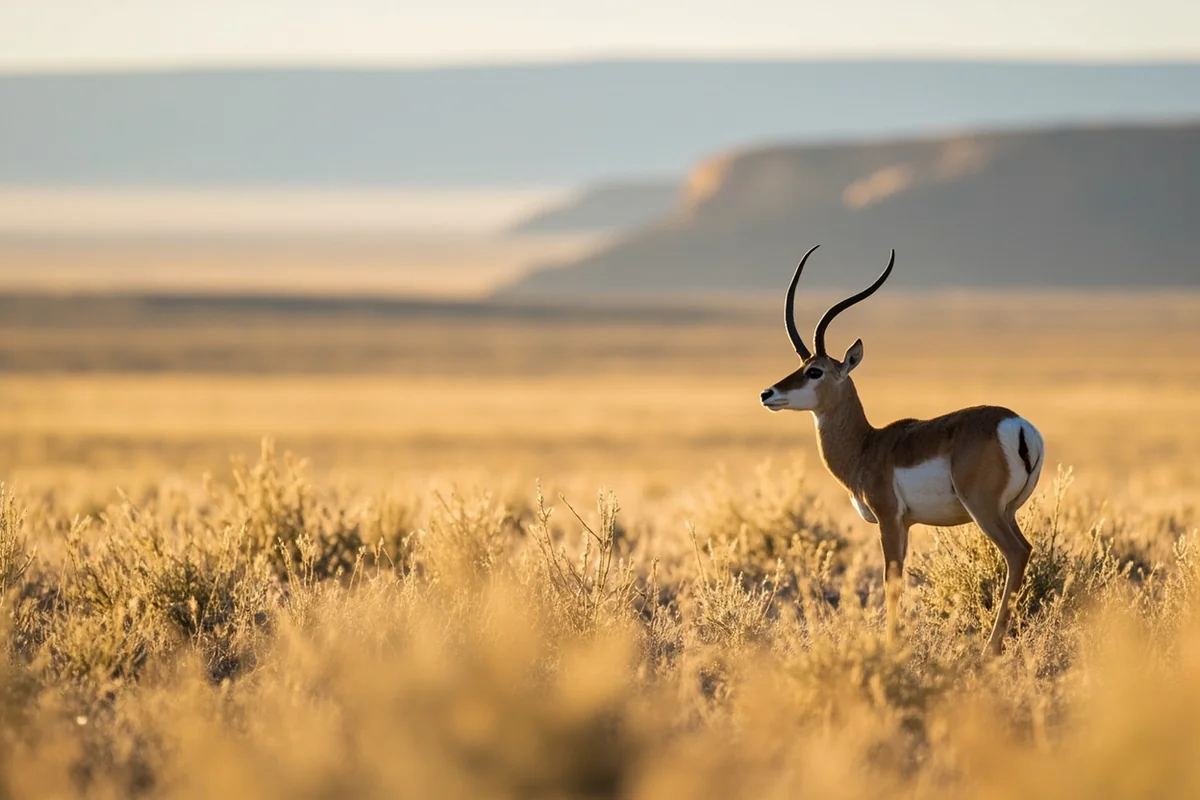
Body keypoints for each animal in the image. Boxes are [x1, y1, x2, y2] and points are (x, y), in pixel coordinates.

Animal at [759, 246, 1044, 655]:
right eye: (800, 365)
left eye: (815, 371)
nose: (768, 394)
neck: (868, 445)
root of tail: (1017, 425)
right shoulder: (907, 523)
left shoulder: (889, 518)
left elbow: (890, 578)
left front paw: (891, 647)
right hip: (1008, 511)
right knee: (1025, 549)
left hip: (985, 510)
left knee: (1016, 554)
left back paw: (990, 648)